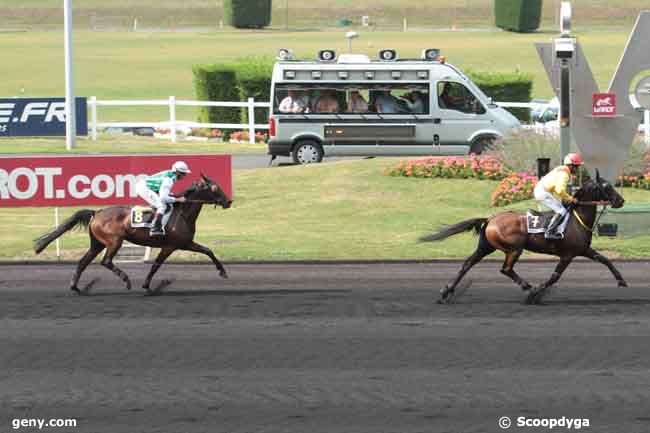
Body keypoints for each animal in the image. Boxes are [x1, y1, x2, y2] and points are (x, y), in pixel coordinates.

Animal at [33, 175, 230, 294]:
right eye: (214, 188)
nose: (228, 201)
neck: (181, 213)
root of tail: (97, 212)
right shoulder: (173, 245)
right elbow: (157, 265)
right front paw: (146, 285)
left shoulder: (183, 243)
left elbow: (207, 250)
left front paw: (222, 271)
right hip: (114, 241)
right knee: (106, 261)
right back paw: (126, 280)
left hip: (97, 243)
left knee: (83, 262)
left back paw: (75, 287)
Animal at [418, 173, 624, 304]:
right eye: (607, 186)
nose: (621, 201)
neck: (576, 219)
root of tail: (490, 219)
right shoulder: (568, 255)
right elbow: (554, 277)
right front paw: (537, 293)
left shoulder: (584, 250)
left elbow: (605, 260)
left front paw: (621, 281)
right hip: (514, 249)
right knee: (506, 269)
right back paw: (528, 288)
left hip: (486, 247)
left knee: (467, 264)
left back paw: (446, 292)